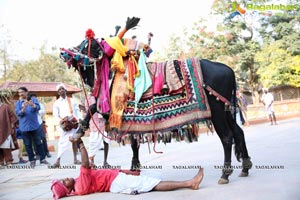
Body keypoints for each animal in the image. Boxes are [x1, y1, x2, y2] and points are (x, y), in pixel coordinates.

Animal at [60, 16, 251, 184]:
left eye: (86, 44)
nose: (63, 53)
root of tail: (227, 69)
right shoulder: (123, 118)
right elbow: (132, 141)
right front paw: (134, 167)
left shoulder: (115, 111)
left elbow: (93, 108)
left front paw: (78, 131)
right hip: (226, 110)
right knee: (238, 132)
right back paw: (245, 166)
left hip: (217, 111)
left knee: (227, 137)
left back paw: (225, 174)